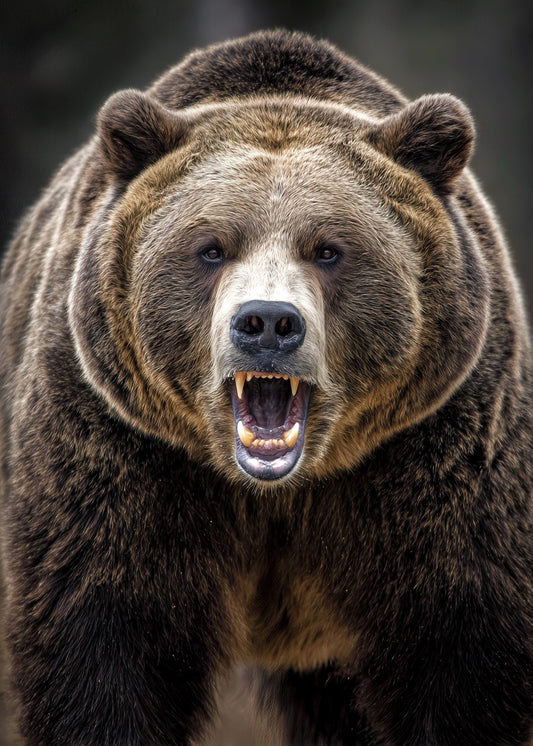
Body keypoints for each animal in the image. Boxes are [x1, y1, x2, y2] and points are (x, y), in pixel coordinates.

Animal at [0, 28, 531, 746]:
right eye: (211, 247)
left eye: (329, 248)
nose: (269, 323)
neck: (276, 492)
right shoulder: (116, 452)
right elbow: (101, 643)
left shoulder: (437, 455)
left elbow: (459, 652)